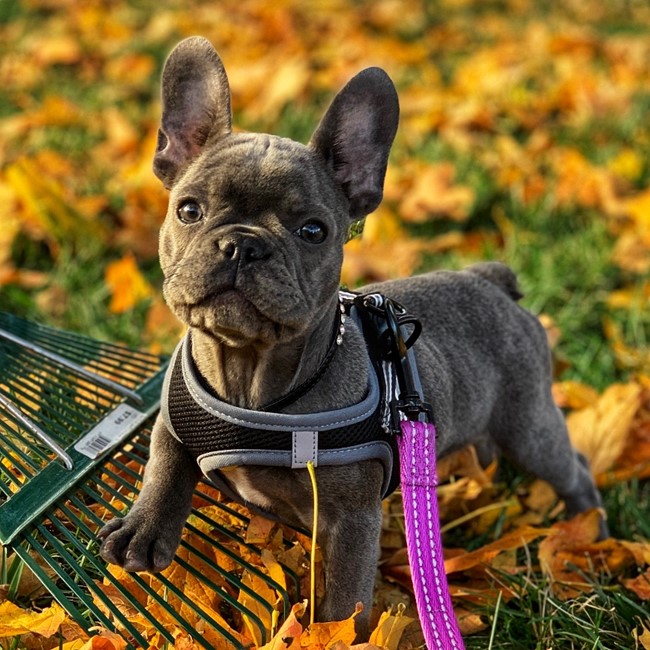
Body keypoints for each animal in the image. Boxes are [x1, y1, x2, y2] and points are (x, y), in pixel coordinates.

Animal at [98, 36, 604, 636]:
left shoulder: (351, 521)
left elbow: (345, 601)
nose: (243, 244)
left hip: (530, 426)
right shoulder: (174, 417)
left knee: (572, 468)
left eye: (313, 231)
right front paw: (144, 527)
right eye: (189, 210)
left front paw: (336, 635)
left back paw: (586, 533)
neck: (250, 375)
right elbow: (165, 461)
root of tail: (491, 281)